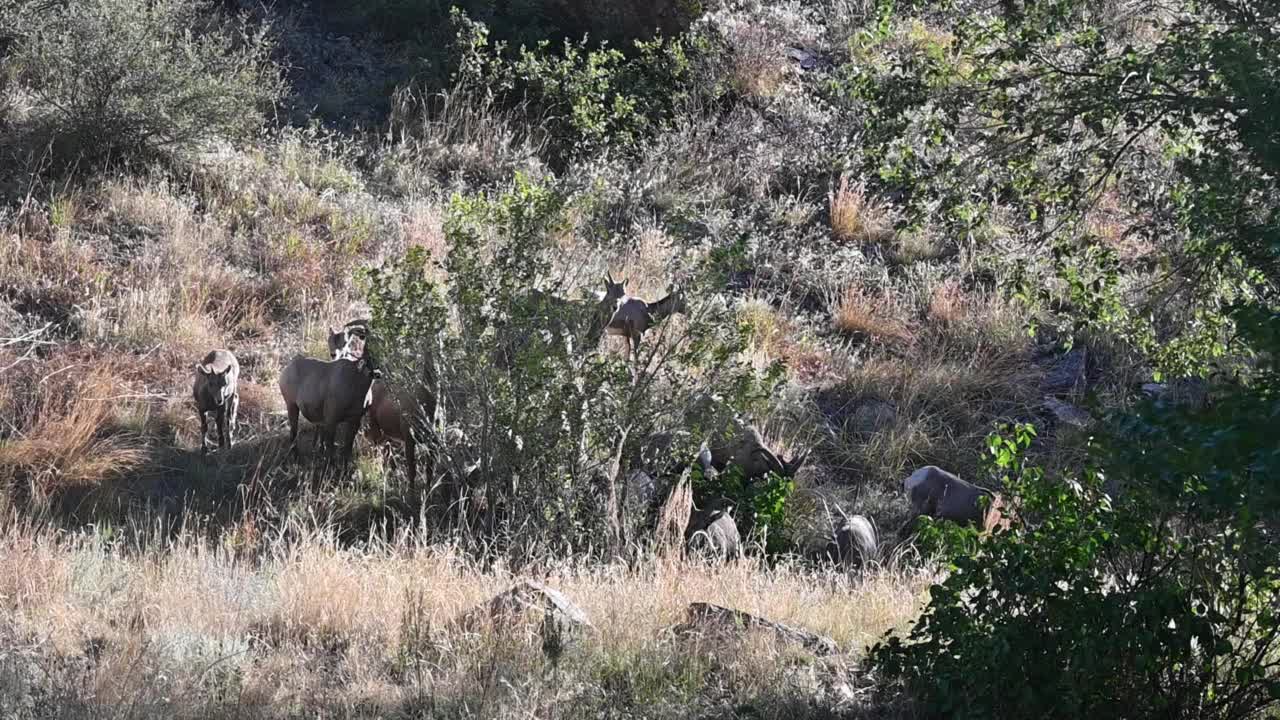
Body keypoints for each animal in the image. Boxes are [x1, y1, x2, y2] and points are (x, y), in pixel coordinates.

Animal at [280, 333, 378, 474]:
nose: (375, 373)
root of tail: (289, 367)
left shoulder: (354, 421)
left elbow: (347, 447)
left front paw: (345, 469)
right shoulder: (331, 420)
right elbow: (330, 446)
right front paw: (329, 468)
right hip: (292, 407)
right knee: (293, 434)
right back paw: (296, 459)